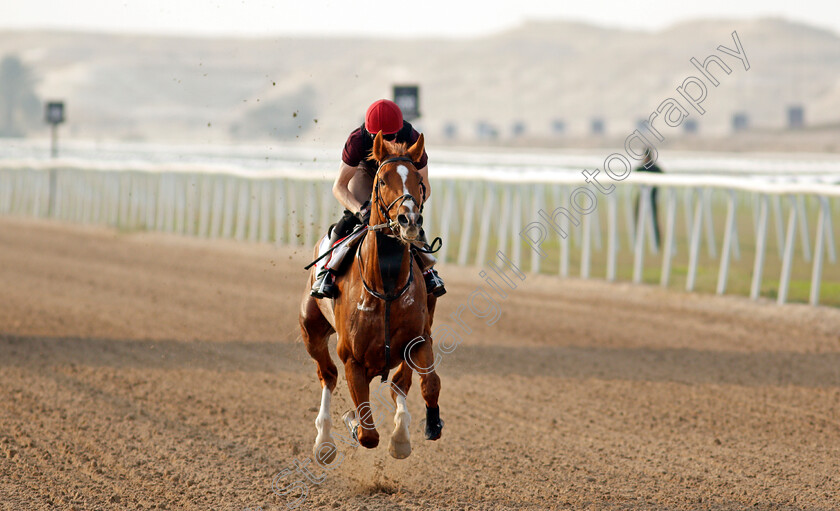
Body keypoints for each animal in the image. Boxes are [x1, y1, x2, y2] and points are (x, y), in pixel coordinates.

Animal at [302, 132, 446, 464]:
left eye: (419, 179)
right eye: (381, 180)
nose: (409, 220)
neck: (388, 286)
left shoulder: (419, 339)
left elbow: (426, 383)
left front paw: (419, 430)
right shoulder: (352, 357)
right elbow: (367, 433)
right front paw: (353, 423)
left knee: (397, 384)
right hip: (311, 330)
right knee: (327, 375)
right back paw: (324, 442)